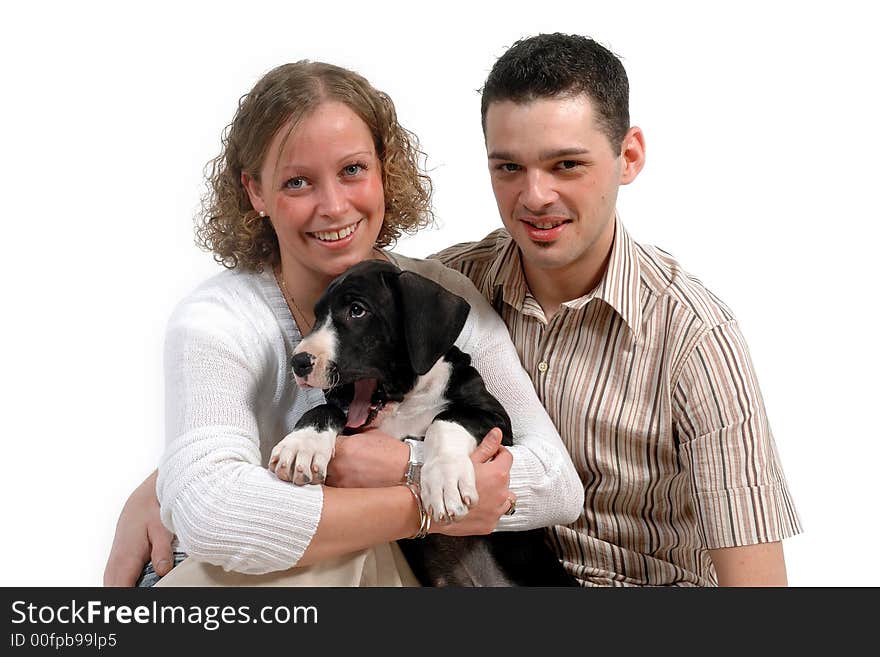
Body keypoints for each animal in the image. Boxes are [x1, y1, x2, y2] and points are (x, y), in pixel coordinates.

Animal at [268, 258, 576, 588]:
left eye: (357, 310)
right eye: (317, 315)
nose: (299, 362)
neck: (405, 402)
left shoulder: (496, 420)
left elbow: (445, 419)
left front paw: (445, 480)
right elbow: (325, 409)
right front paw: (302, 445)